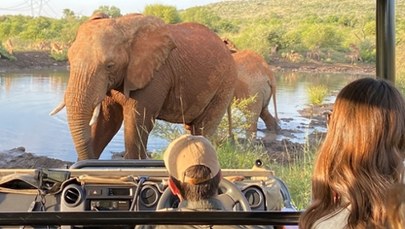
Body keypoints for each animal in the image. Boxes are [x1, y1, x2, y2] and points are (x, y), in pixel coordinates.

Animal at [50, 12, 237, 159]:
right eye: (69, 60)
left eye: (110, 65)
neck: (122, 26)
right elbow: (107, 121)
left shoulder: (156, 75)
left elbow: (136, 122)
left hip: (225, 84)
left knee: (203, 128)